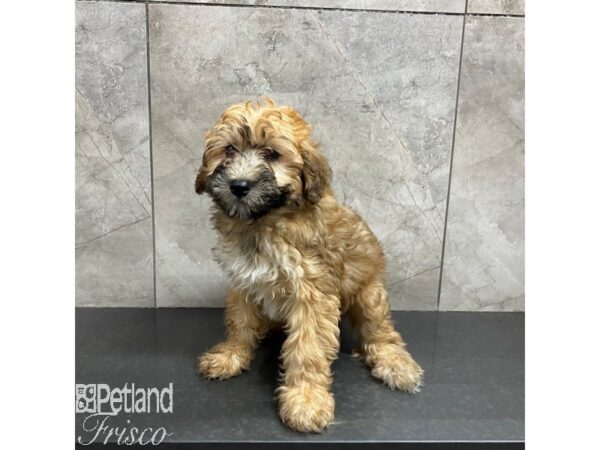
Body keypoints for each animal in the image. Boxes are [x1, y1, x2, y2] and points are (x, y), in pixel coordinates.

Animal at [196, 99, 422, 432]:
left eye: (272, 154)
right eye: (229, 150)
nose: (239, 185)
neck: (263, 223)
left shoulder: (313, 294)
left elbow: (308, 349)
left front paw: (306, 399)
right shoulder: (244, 282)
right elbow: (240, 323)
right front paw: (231, 355)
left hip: (369, 294)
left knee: (380, 330)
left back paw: (394, 362)